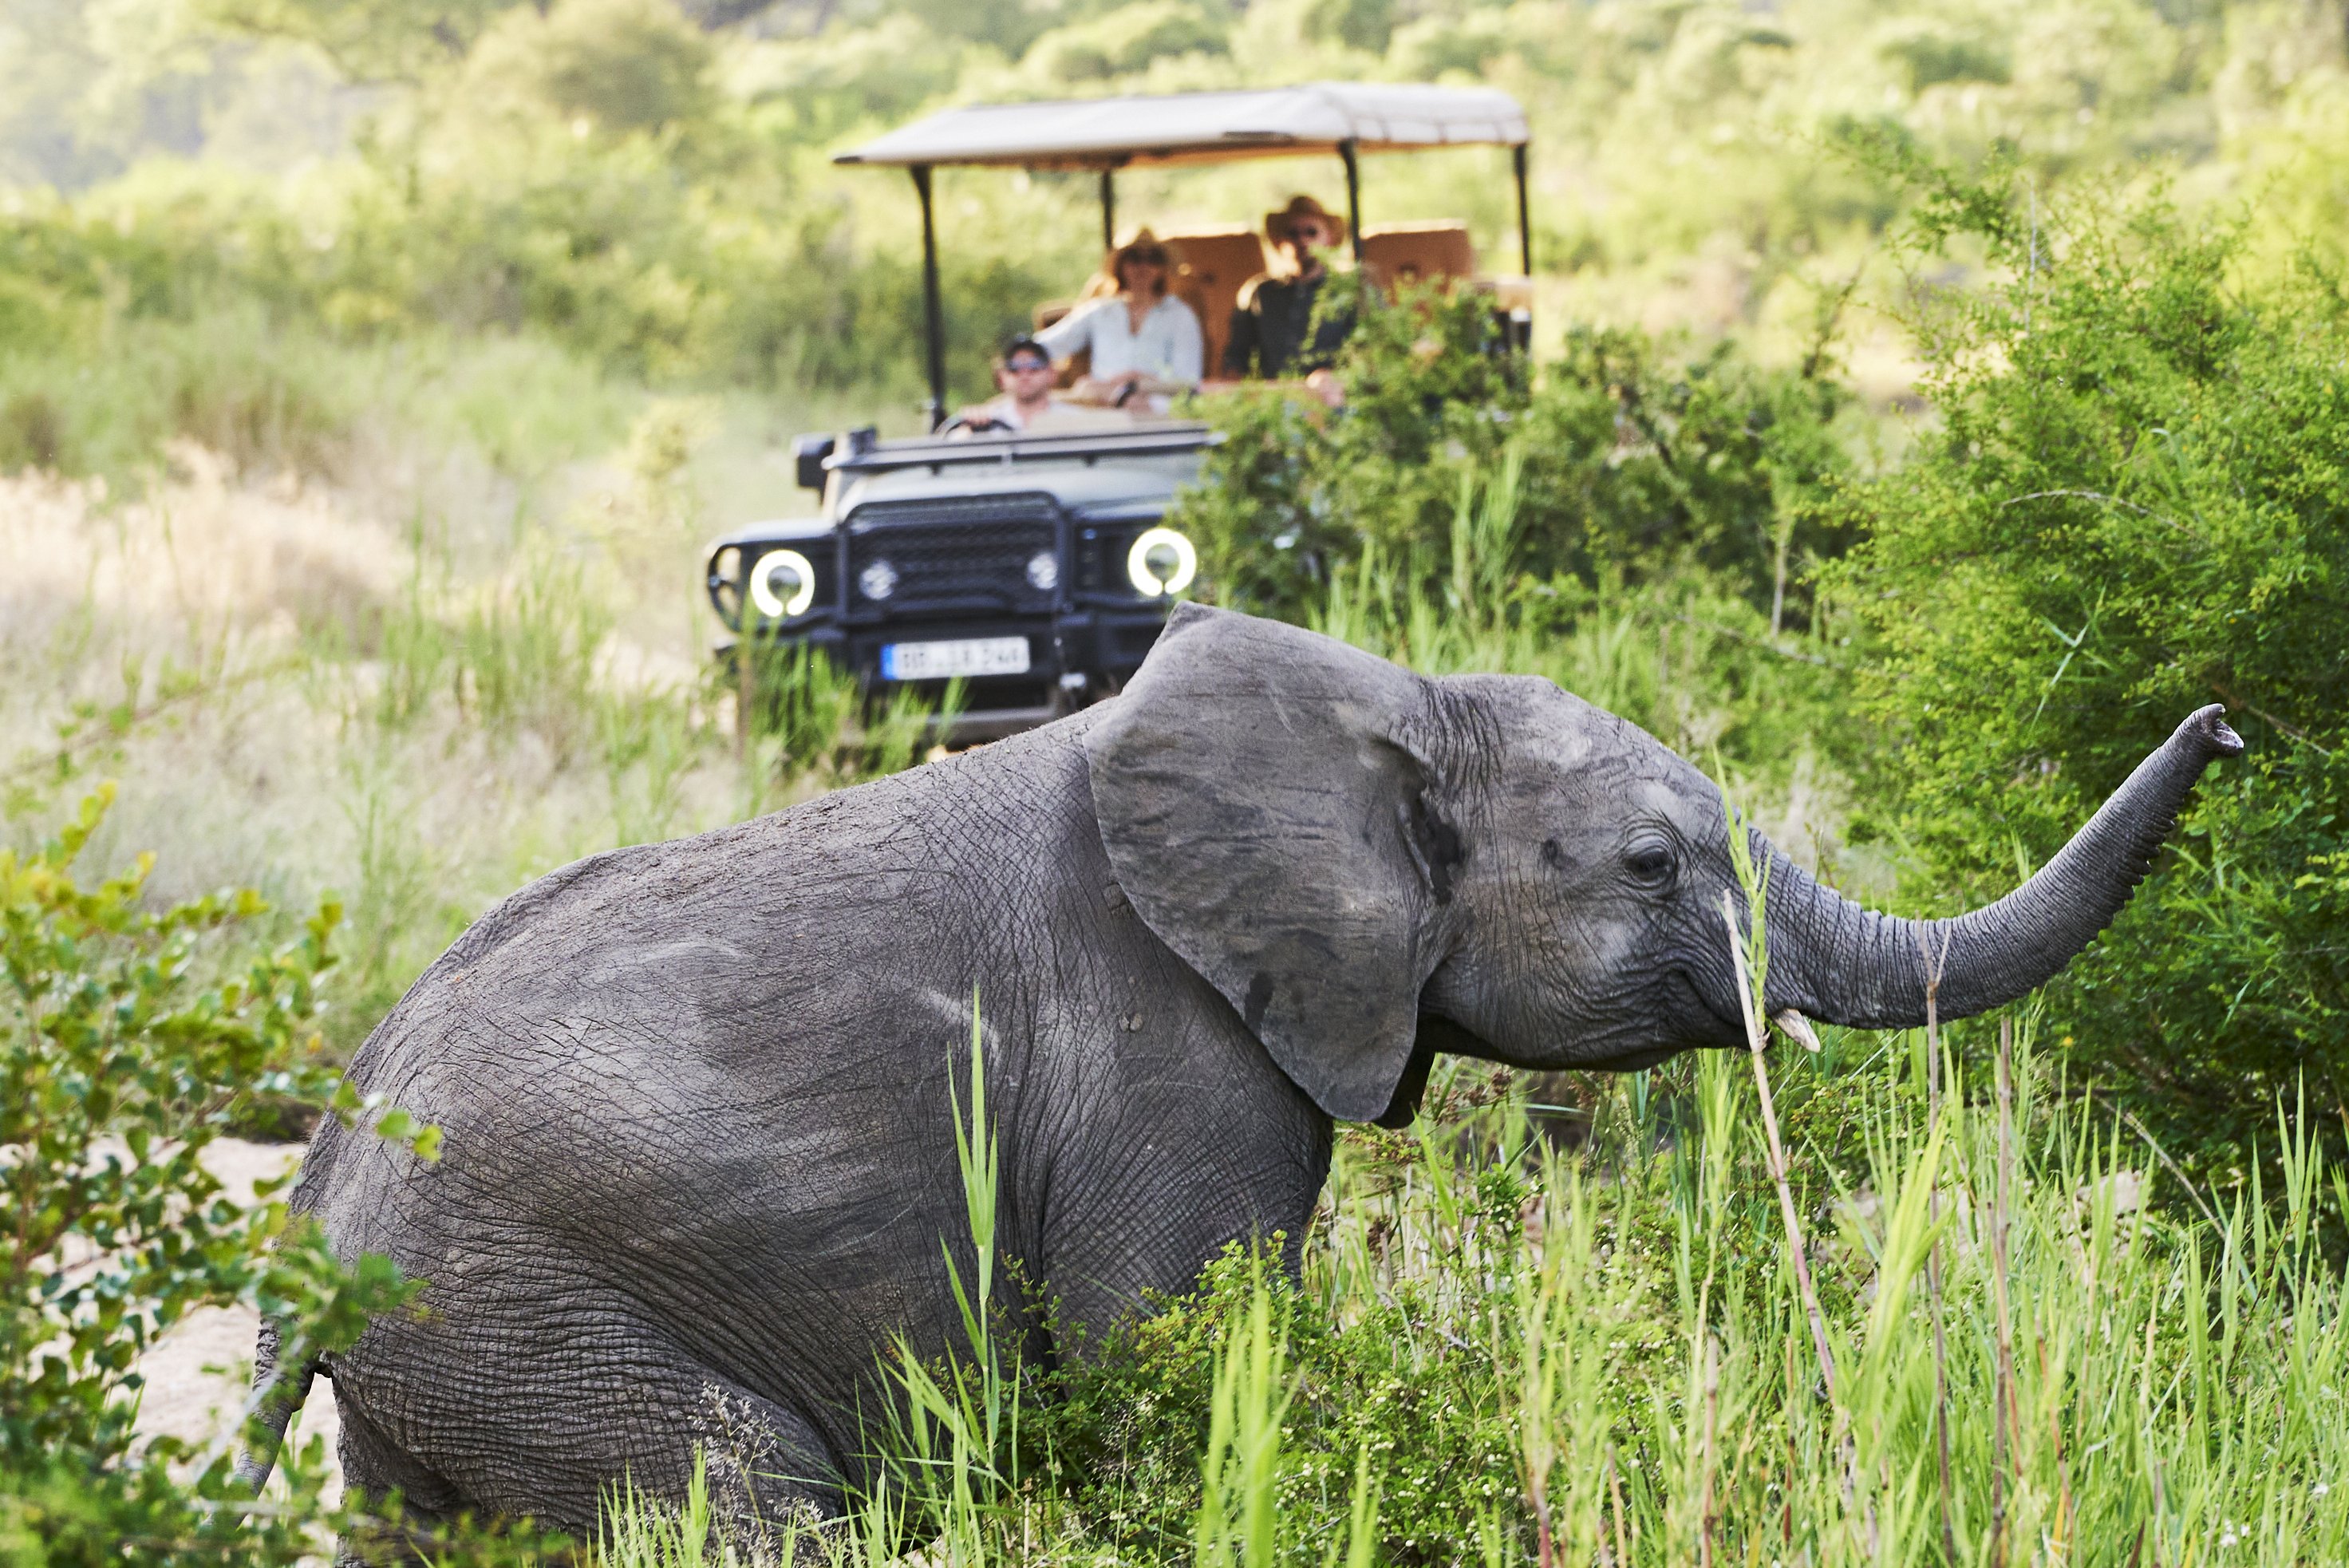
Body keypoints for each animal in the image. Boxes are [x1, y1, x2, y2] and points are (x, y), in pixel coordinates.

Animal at [238, 606, 2236, 1542]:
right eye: (1653, 864)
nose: (2226, 720)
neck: (1383, 710)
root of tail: (311, 1187)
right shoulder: (1161, 1058)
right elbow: (1176, 1353)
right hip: (537, 1313)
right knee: (747, 1502)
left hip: (447, 1354)